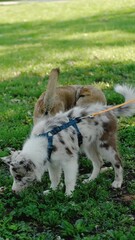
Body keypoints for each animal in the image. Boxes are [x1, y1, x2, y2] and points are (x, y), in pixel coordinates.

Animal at [3, 85, 135, 196]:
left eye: (19, 177)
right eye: (15, 177)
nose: (13, 191)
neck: (46, 139)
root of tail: (107, 108)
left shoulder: (69, 161)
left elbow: (68, 179)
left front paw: (68, 195)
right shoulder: (53, 162)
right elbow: (54, 178)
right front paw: (52, 191)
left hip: (105, 144)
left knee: (117, 161)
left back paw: (117, 182)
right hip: (89, 146)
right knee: (98, 162)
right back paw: (90, 180)